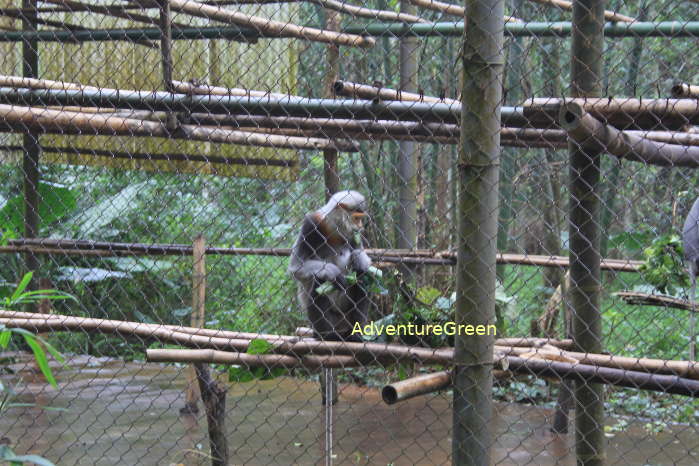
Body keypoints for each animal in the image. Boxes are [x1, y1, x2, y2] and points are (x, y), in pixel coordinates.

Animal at [290, 190, 374, 342]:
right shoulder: (311, 224)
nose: (360, 227)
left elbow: (361, 258)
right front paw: (332, 272)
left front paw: (358, 258)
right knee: (319, 279)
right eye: (356, 218)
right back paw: (326, 335)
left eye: (360, 219)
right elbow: (296, 267)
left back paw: (355, 334)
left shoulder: (353, 236)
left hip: (346, 317)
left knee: (363, 274)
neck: (333, 230)